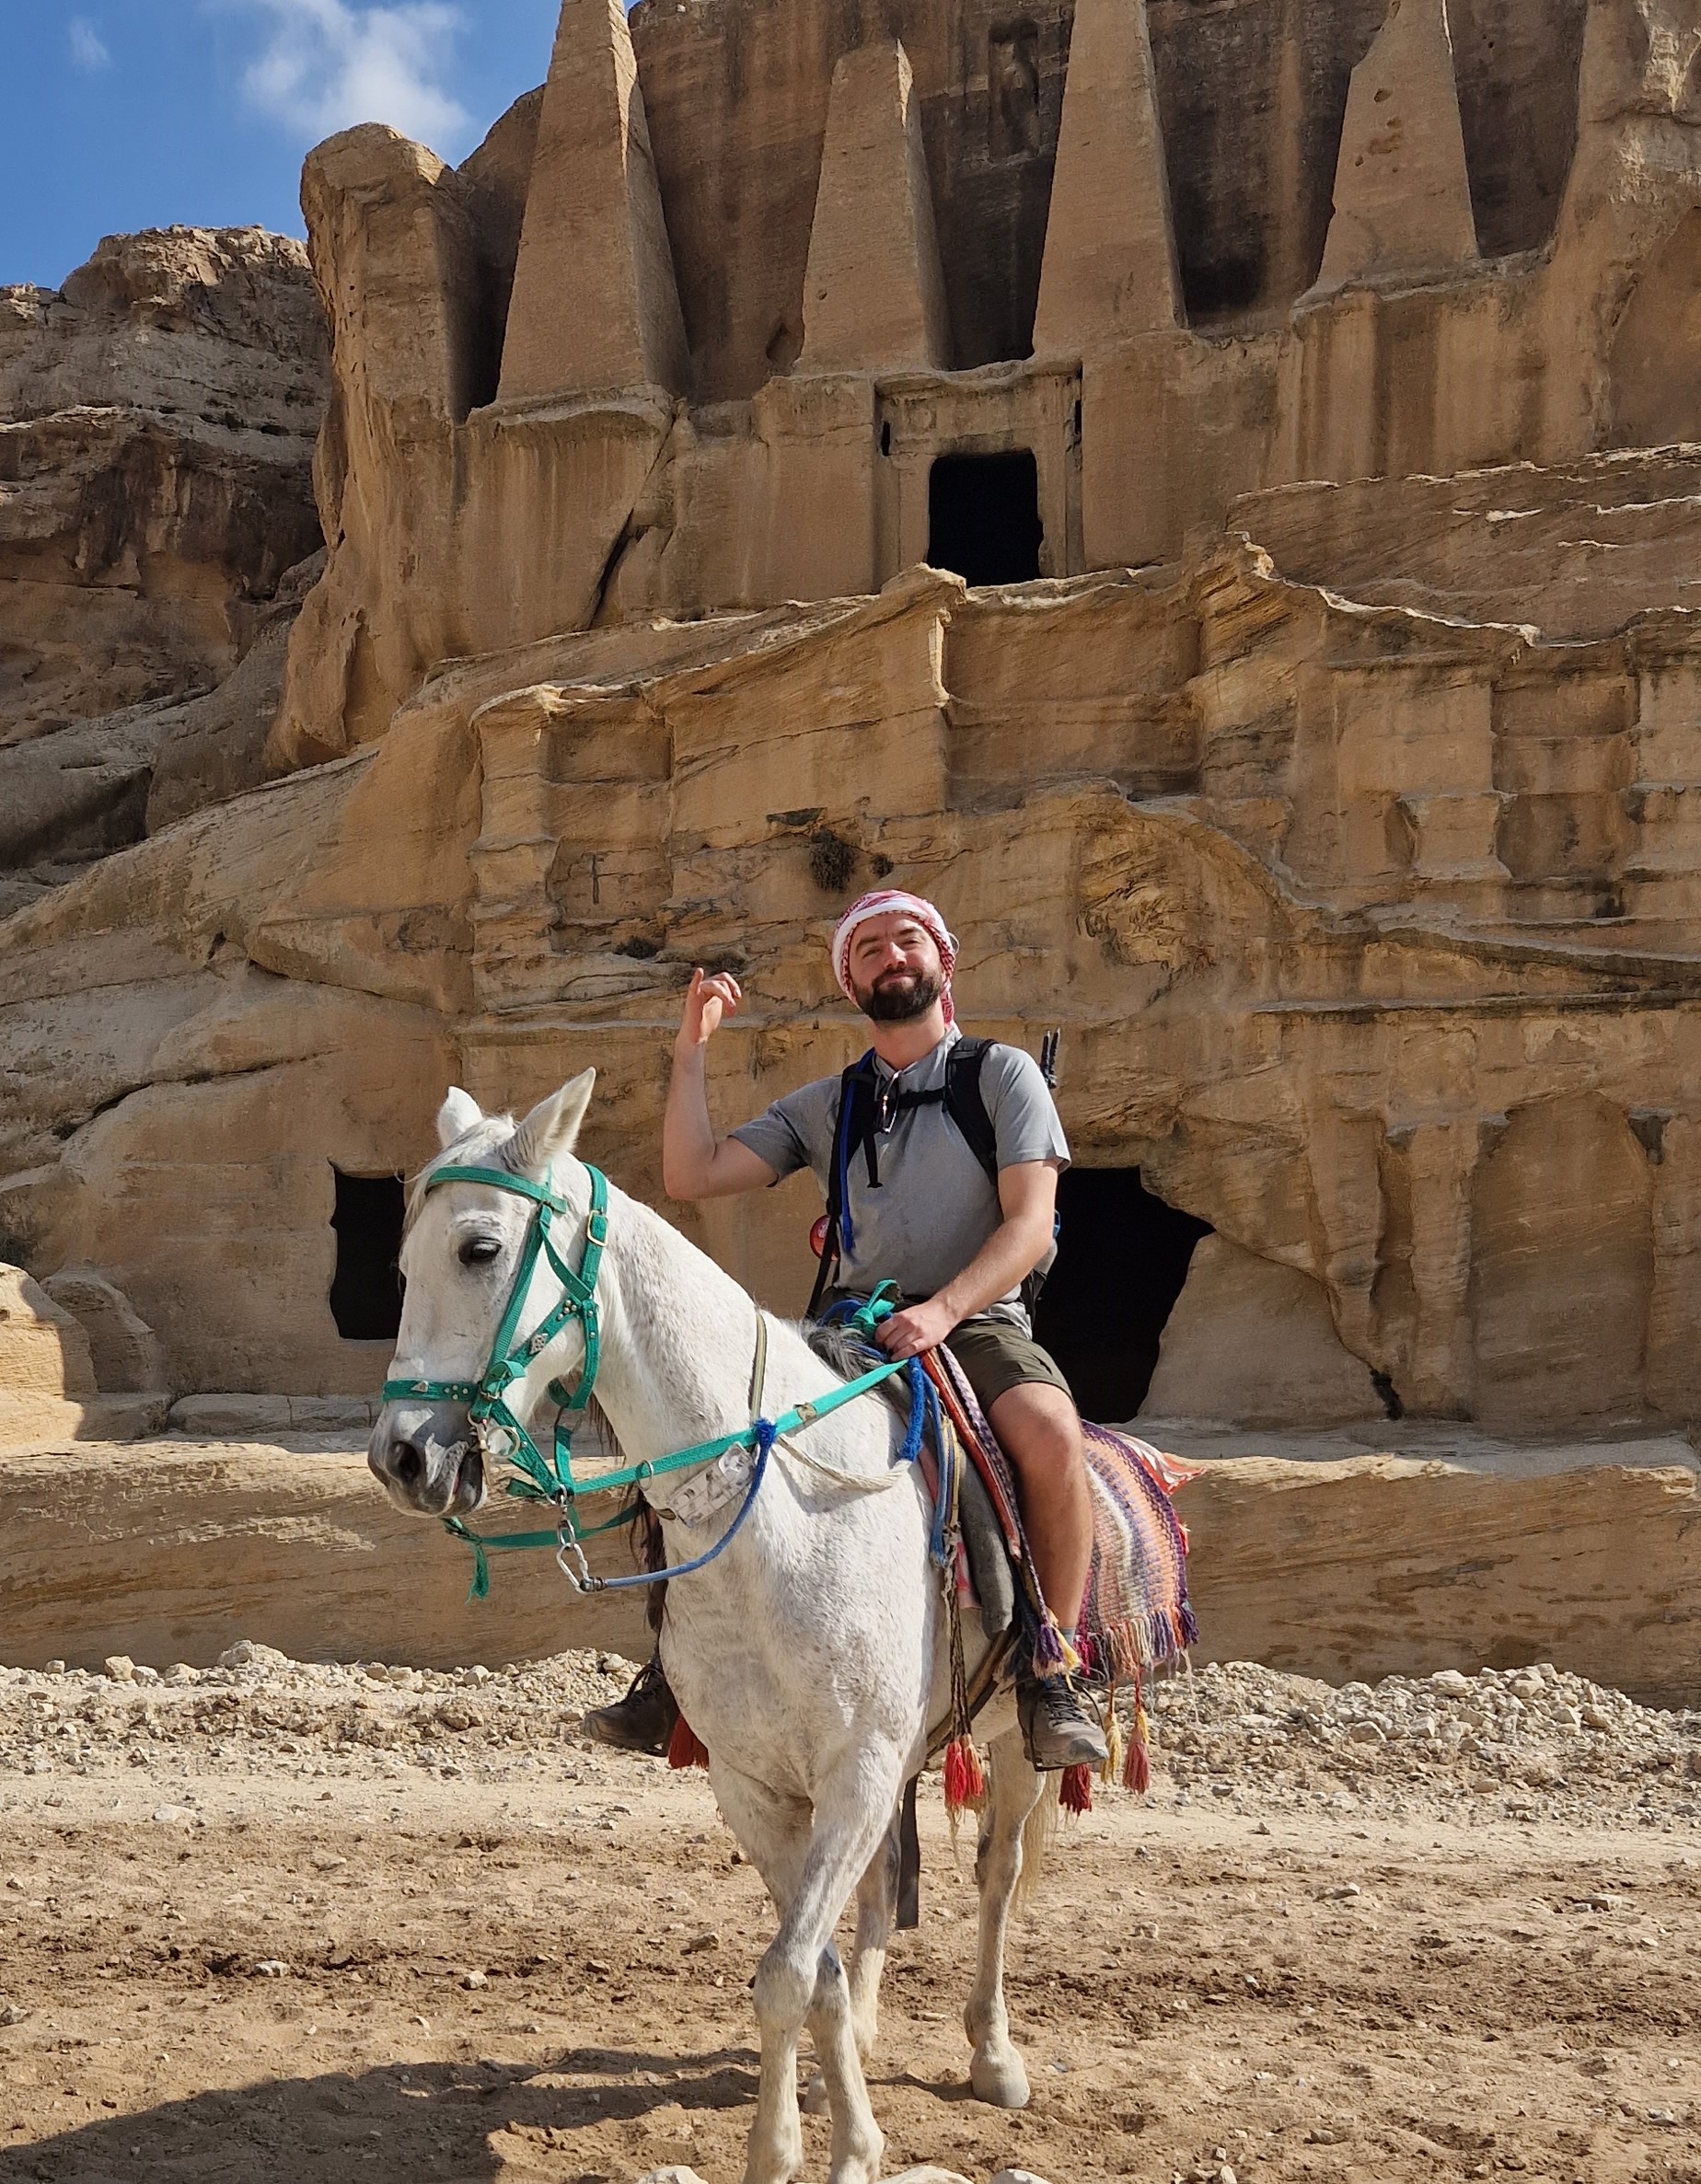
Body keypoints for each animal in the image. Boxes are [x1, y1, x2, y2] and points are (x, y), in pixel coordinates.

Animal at [376, 1074, 1052, 2184]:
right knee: (881, 1888)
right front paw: (814, 2139)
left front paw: (829, 2150)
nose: (401, 1457)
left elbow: (788, 1973)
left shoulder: (857, 1767)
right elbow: (812, 1969)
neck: (778, 1509)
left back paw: (994, 2056)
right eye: (397, 1265)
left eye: (478, 1248)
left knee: (997, 1876)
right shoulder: (756, 1782)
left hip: (1015, 1745)